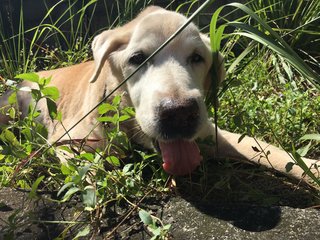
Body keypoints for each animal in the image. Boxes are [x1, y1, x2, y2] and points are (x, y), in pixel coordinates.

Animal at [0, 6, 318, 180]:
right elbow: (89, 173)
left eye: (197, 58)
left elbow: (268, 149)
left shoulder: (211, 132)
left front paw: (312, 167)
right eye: (137, 58)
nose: (179, 113)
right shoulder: (67, 141)